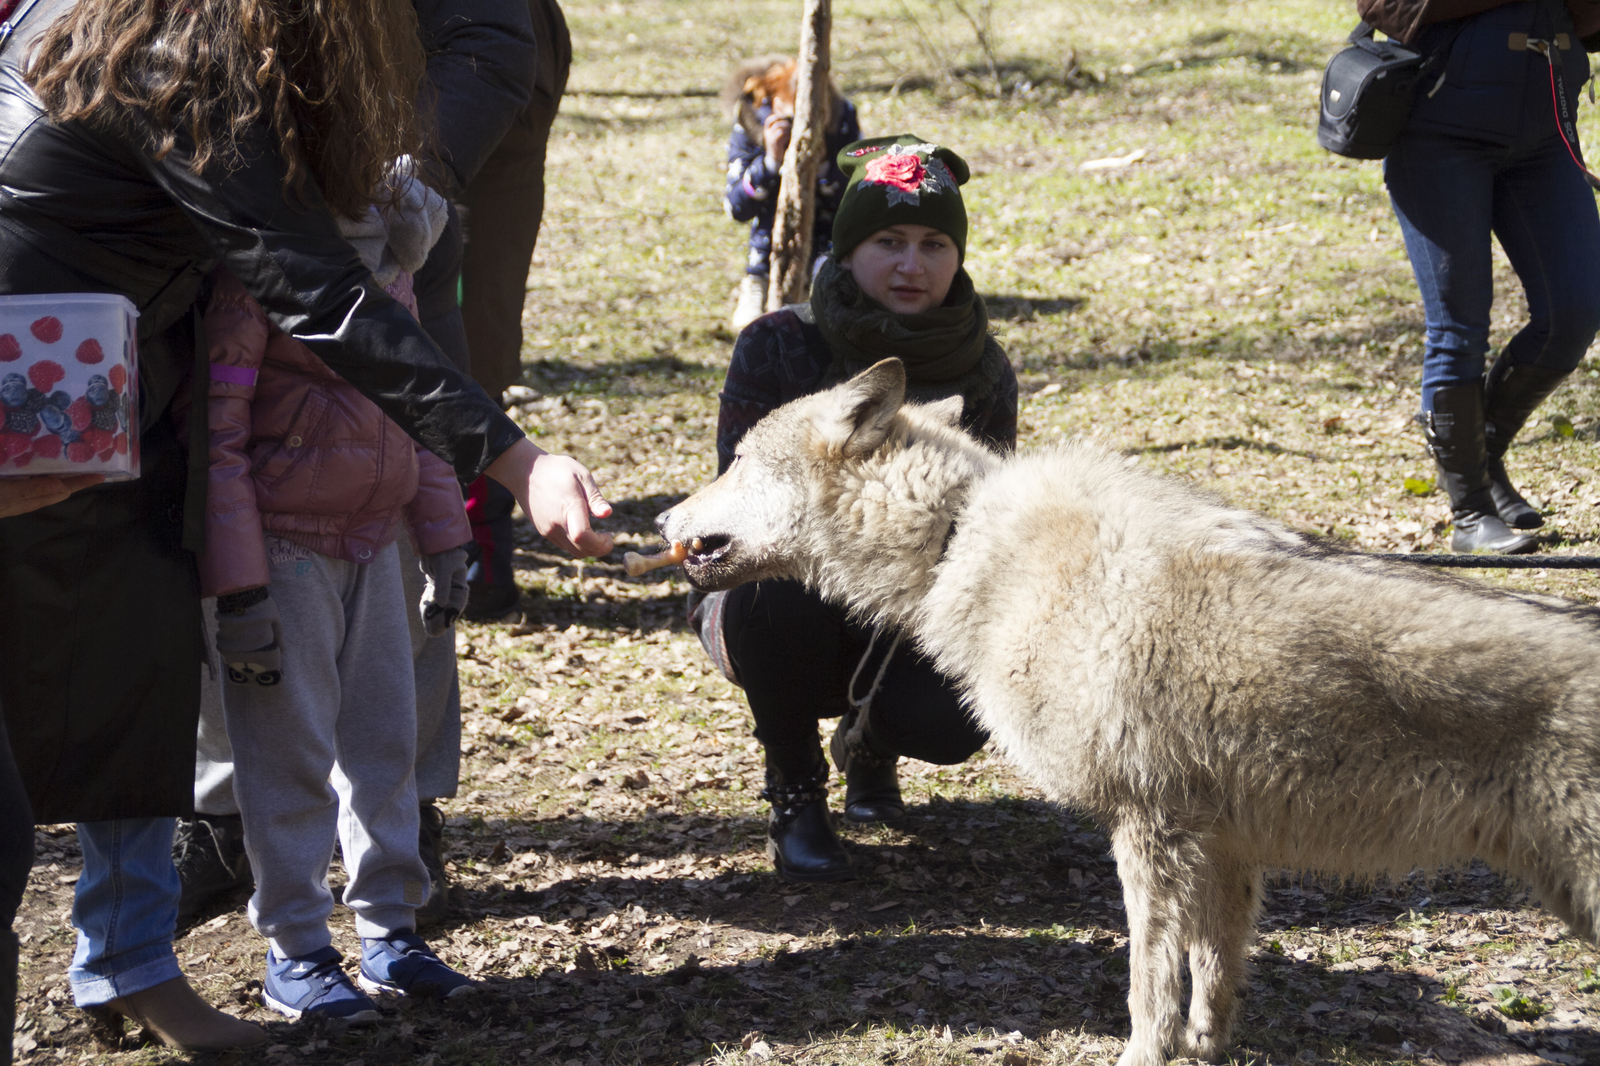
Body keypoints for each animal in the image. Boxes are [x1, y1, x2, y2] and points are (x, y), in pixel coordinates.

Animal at [659, 356, 1600, 1062]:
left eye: (735, 461)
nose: (664, 517)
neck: (962, 538)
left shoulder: (1150, 827)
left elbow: (1151, 982)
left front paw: (1146, 1056)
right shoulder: (1223, 843)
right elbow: (1215, 970)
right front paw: (1210, 1047)